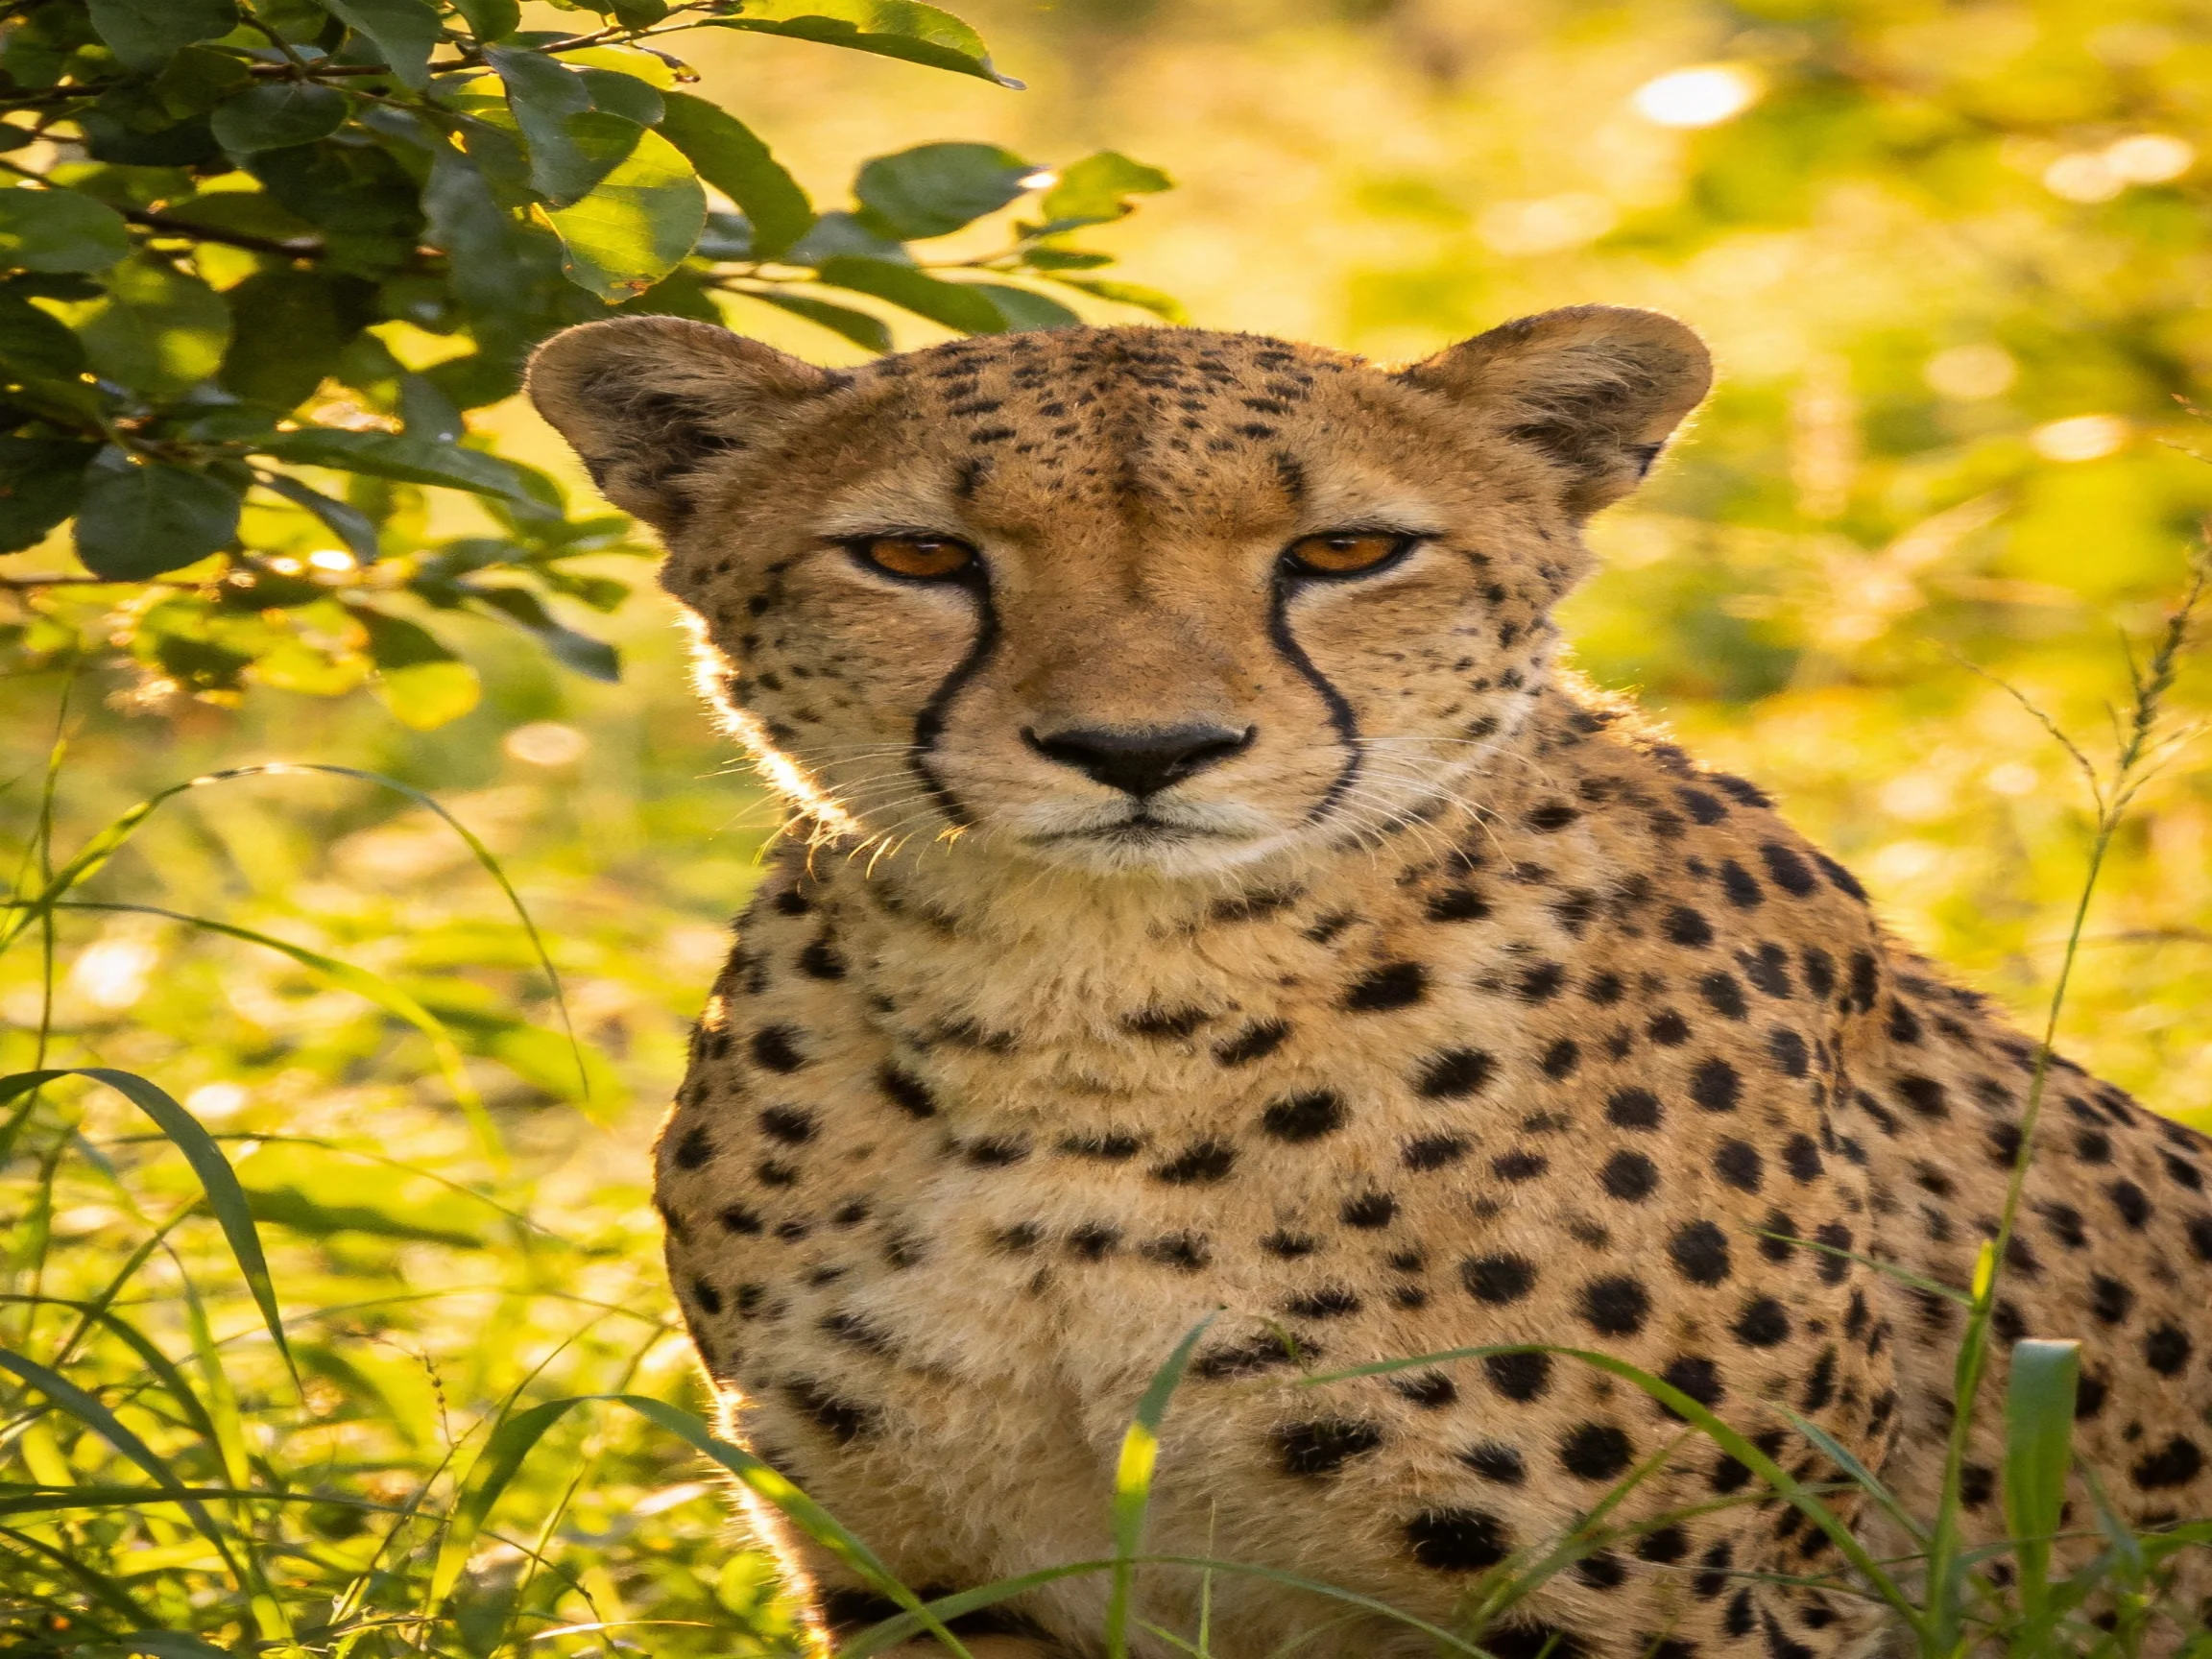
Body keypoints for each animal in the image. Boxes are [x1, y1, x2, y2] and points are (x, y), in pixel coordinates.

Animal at [526, 306, 2212, 1659]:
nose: (1142, 751)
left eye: (1344, 552)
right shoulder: (932, 1579)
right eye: (915, 555)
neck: (1093, 1029)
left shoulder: (1679, 1603)